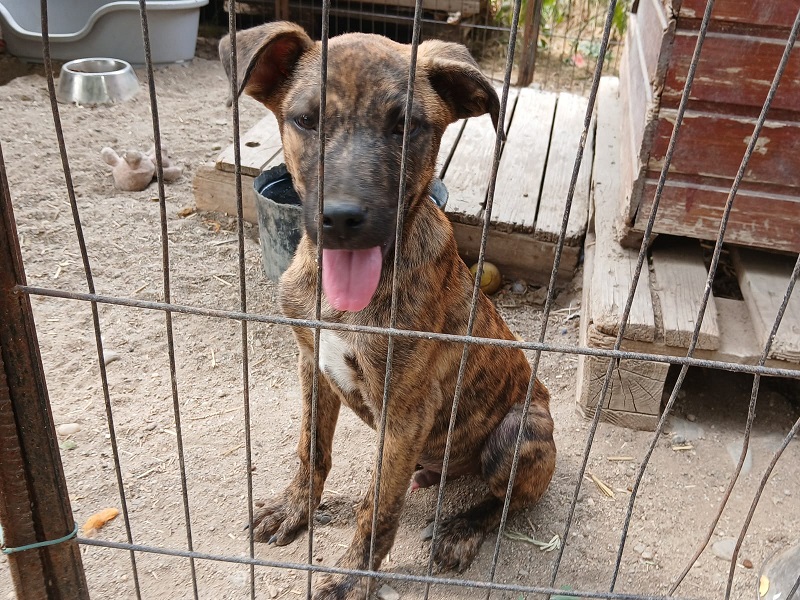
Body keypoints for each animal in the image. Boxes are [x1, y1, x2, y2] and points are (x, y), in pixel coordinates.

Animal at [220, 22, 556, 599]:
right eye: (305, 119)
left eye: (407, 127)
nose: (341, 219)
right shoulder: (312, 366)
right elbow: (312, 450)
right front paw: (294, 509)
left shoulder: (405, 411)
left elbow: (378, 508)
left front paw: (350, 579)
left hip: (520, 433)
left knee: (506, 501)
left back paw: (461, 529)